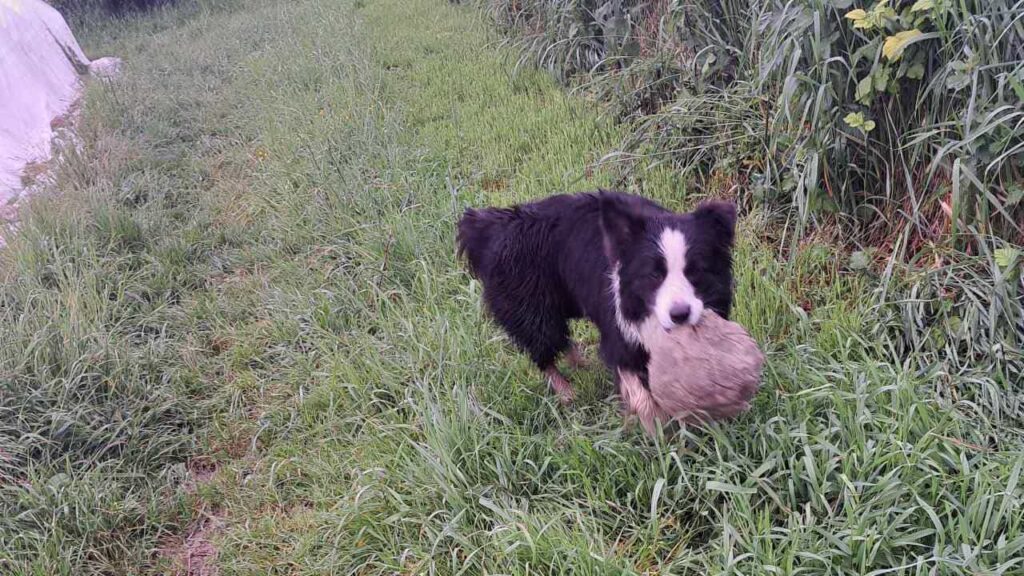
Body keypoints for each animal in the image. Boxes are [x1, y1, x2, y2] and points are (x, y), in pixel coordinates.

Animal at [458, 190, 737, 409]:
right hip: (529, 305)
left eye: (695, 271)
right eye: (654, 274)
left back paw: (584, 366)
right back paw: (567, 393)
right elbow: (640, 392)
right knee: (543, 347)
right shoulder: (619, 328)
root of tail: (492, 227)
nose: (679, 315)